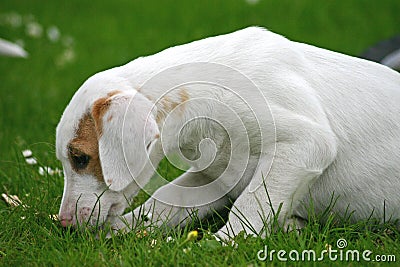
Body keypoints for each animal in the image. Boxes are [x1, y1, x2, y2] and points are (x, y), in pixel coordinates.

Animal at [55, 26, 400, 238]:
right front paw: (125, 228)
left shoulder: (306, 143)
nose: (65, 223)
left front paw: (221, 243)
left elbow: (251, 203)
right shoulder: (213, 174)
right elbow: (167, 198)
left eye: (80, 158)